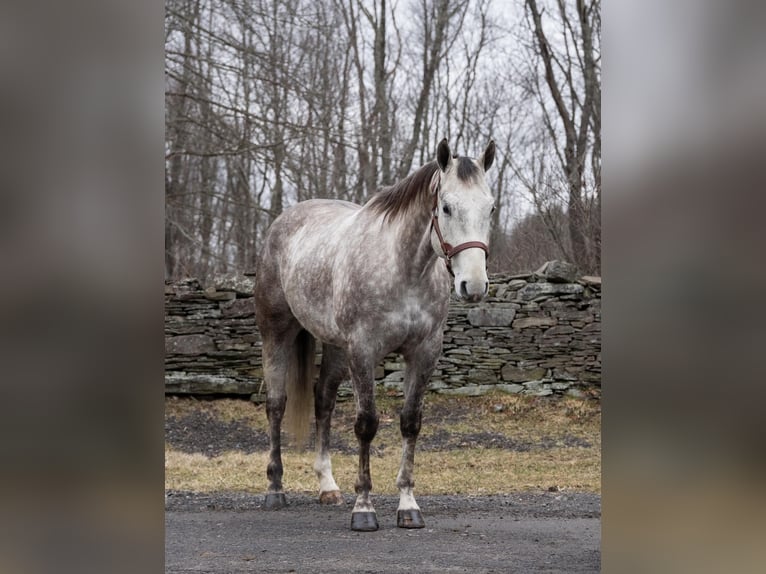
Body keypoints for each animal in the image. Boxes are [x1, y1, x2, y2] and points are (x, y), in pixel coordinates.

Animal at [255, 140, 498, 536]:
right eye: (446, 207)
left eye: (490, 207)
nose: (474, 285)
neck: (404, 269)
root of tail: (283, 222)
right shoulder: (363, 350)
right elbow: (366, 424)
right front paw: (364, 508)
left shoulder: (424, 352)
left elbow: (410, 422)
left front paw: (408, 506)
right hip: (277, 334)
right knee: (276, 404)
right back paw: (275, 489)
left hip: (336, 348)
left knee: (323, 402)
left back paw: (328, 486)